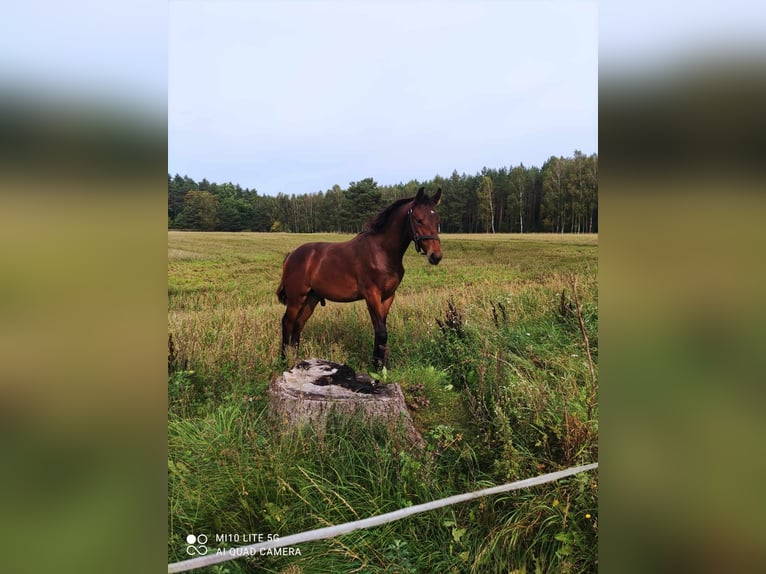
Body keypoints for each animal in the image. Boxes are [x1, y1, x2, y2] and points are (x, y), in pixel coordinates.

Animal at [276, 189, 444, 368]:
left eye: (437, 221)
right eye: (419, 220)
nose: (436, 256)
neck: (382, 252)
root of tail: (291, 255)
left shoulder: (388, 297)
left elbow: (382, 330)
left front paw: (381, 364)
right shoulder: (371, 296)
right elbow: (381, 331)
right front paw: (377, 366)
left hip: (311, 298)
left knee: (298, 324)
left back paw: (296, 360)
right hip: (296, 298)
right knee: (287, 322)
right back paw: (283, 360)